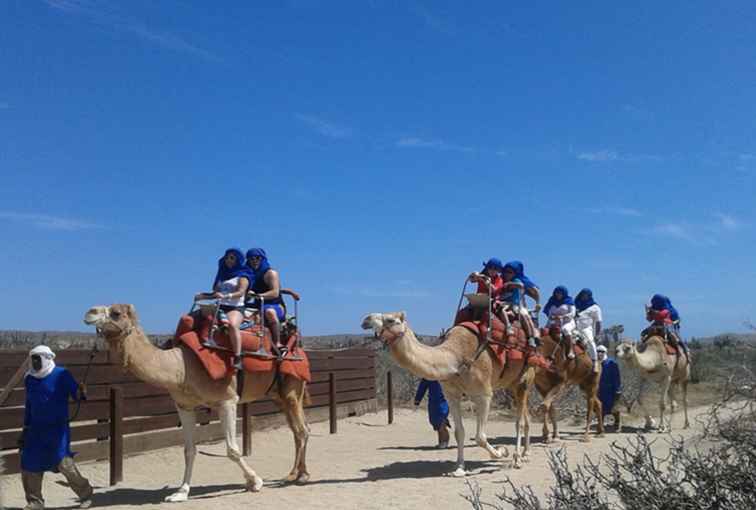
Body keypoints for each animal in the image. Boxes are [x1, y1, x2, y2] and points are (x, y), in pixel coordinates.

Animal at [85, 302, 314, 502]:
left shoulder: (227, 400)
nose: (89, 312)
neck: (181, 366)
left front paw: (255, 481)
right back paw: (297, 473)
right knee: (299, 429)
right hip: (278, 396)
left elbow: (232, 449)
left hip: (292, 390)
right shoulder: (184, 406)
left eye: (116, 313)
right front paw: (180, 493)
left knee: (302, 430)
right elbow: (189, 450)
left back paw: (299, 476)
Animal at [362, 310, 536, 478]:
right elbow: (459, 432)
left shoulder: (484, 394)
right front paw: (459, 468)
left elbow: (480, 437)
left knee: (519, 422)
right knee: (526, 416)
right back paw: (526, 453)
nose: (365, 320)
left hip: (525, 379)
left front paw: (501, 452)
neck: (455, 357)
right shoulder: (452, 395)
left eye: (391, 320)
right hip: (512, 385)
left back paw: (517, 459)